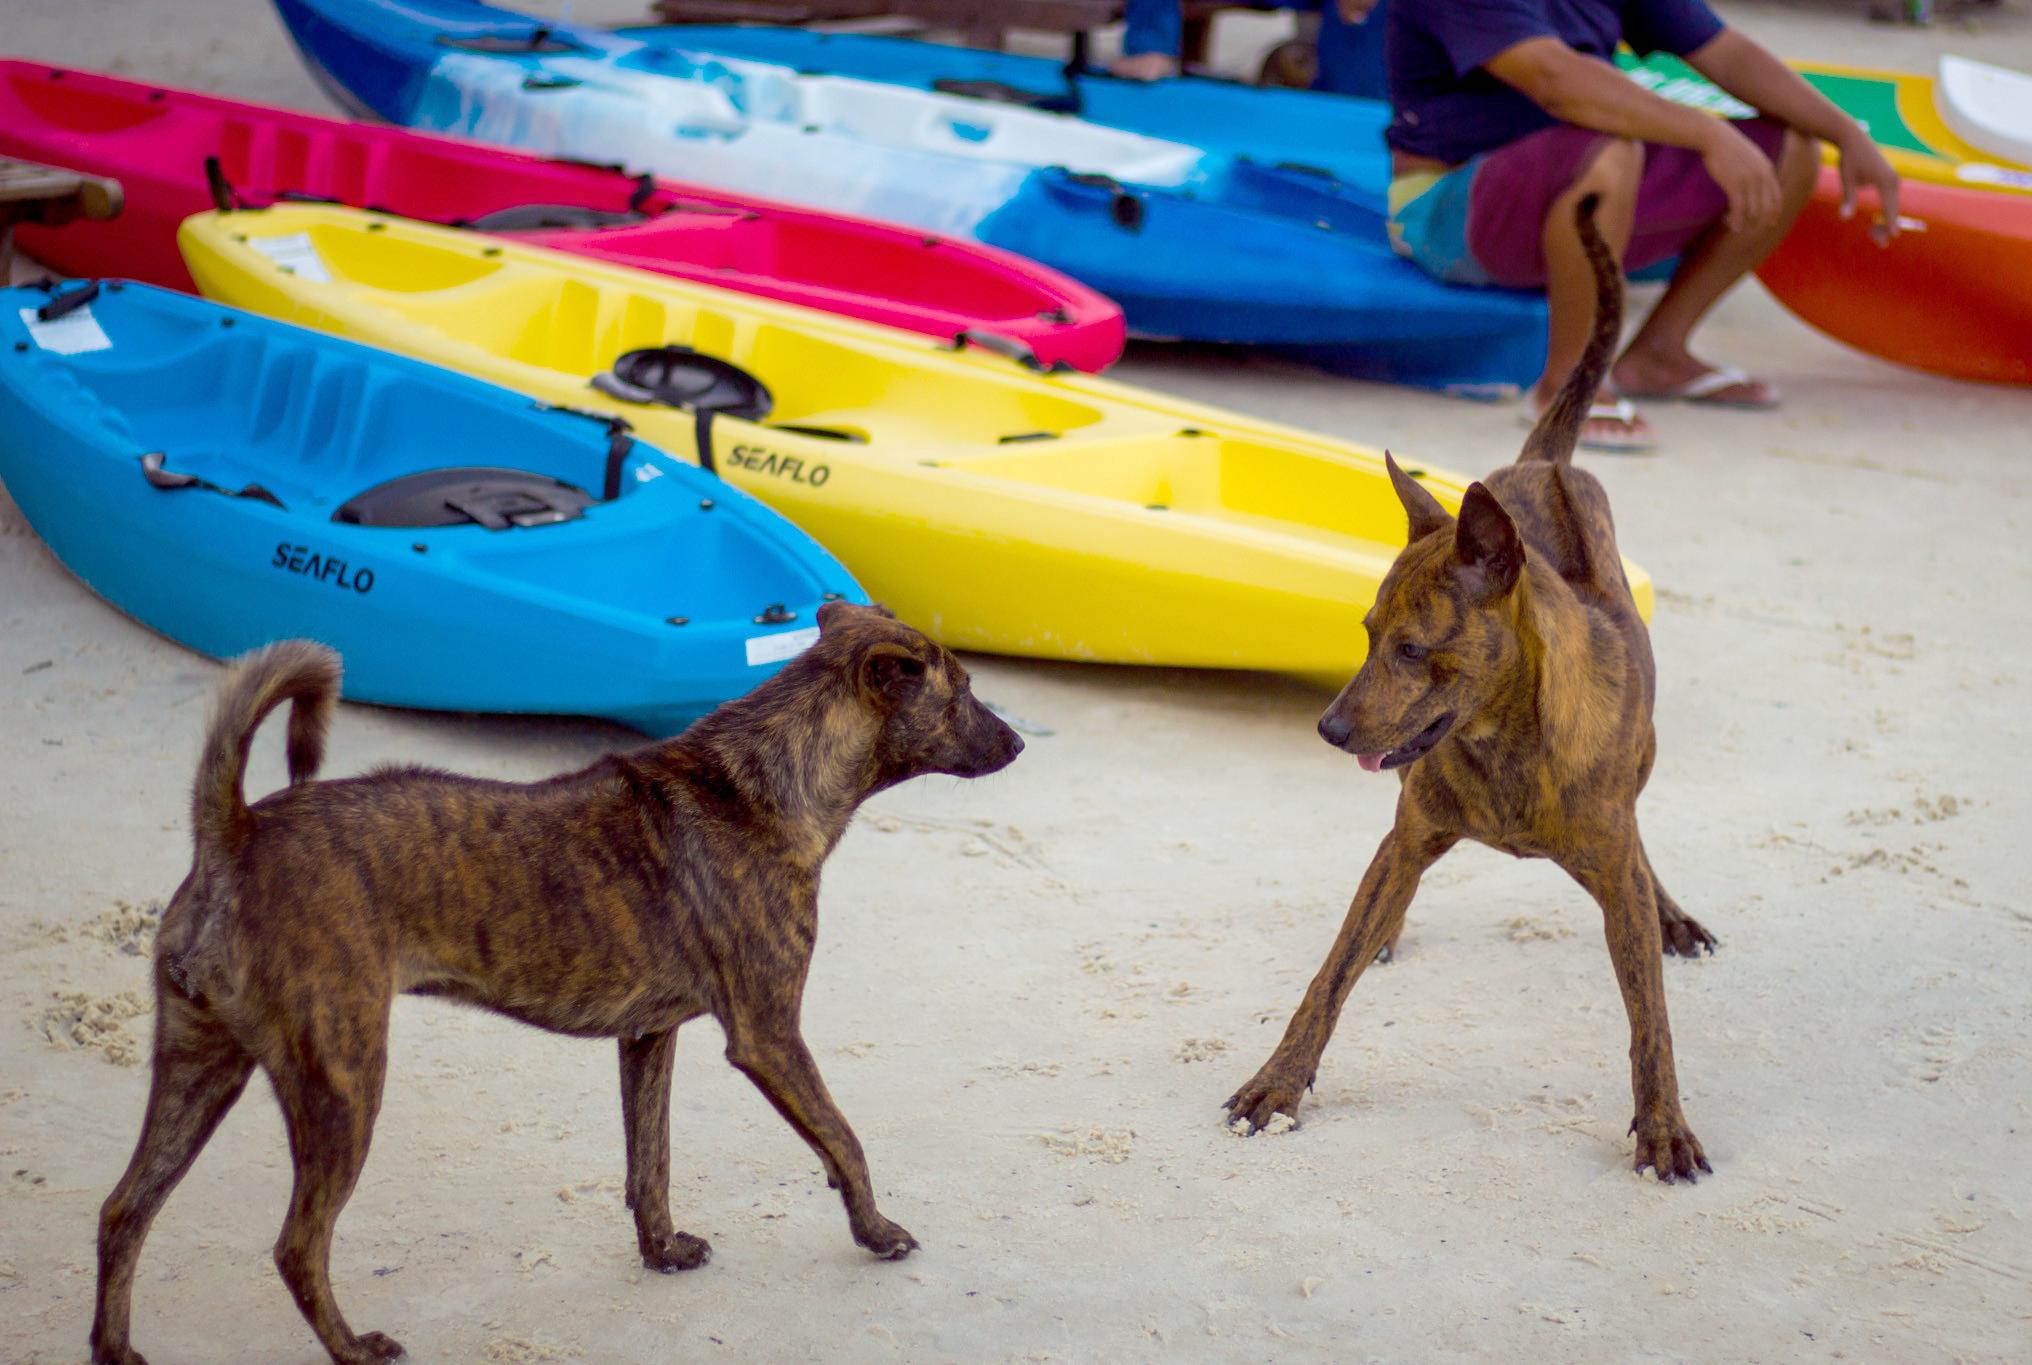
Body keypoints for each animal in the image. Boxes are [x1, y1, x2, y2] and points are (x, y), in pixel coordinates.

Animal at [89, 605, 1024, 1365]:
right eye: (964, 692)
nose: (1018, 743)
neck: (768, 780)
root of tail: (234, 833)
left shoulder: (648, 1037)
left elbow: (650, 1165)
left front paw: (663, 1252)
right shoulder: (768, 1034)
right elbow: (844, 1138)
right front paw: (877, 1232)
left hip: (201, 1067)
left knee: (123, 1210)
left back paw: (118, 1348)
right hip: (344, 1085)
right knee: (296, 1245)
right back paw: (354, 1347)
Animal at [1219, 195, 1715, 1186]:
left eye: (1414, 648)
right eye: (1365, 634)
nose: (1328, 729)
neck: (1506, 744)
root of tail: (1546, 466)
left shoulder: (1610, 863)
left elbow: (1649, 1017)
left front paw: (1663, 1126)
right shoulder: (1409, 831)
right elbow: (1328, 974)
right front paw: (1279, 1083)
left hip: (1642, 758)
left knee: (1642, 845)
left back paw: (1670, 910)